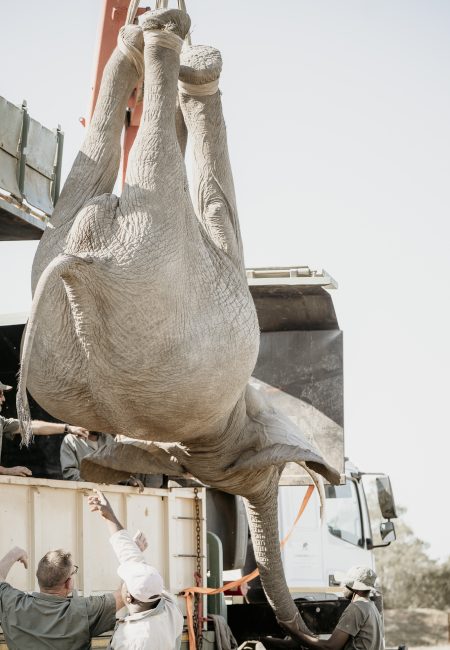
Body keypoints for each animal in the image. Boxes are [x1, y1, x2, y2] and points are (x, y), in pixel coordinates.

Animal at [17, 8, 340, 637]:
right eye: (266, 483)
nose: (322, 630)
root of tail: (89, 268)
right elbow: (220, 209)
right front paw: (201, 65)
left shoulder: (175, 450)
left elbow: (111, 454)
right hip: (159, 256)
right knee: (158, 170)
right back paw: (167, 37)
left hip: (99, 268)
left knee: (100, 180)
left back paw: (139, 41)